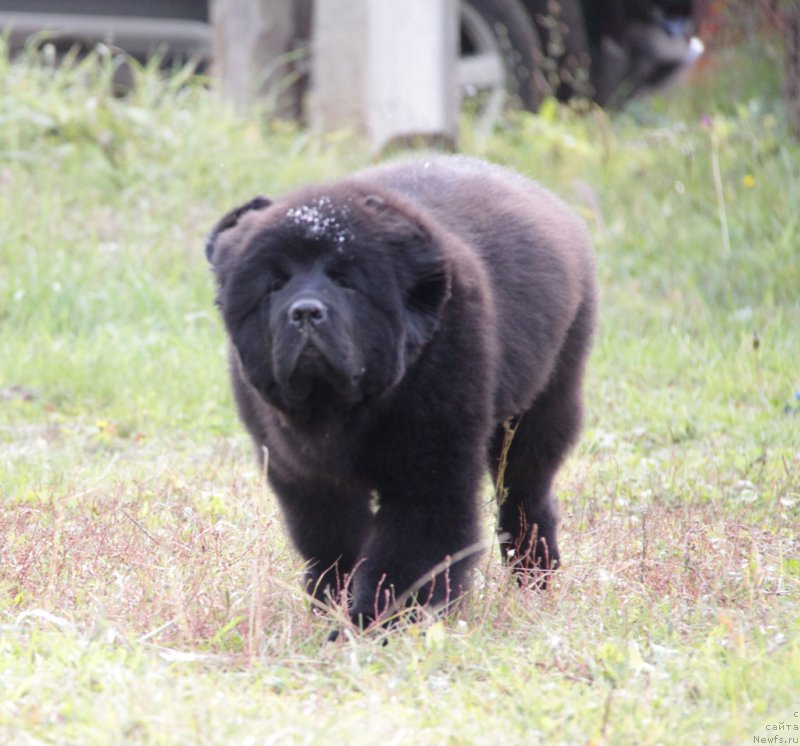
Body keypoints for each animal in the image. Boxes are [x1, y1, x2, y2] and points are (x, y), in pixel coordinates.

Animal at [206, 157, 592, 628]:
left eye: (347, 281)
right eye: (275, 285)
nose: (306, 311)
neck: (341, 410)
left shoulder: (429, 471)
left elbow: (407, 555)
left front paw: (374, 625)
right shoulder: (302, 475)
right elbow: (333, 546)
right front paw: (331, 608)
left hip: (541, 408)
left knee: (525, 496)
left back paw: (534, 579)